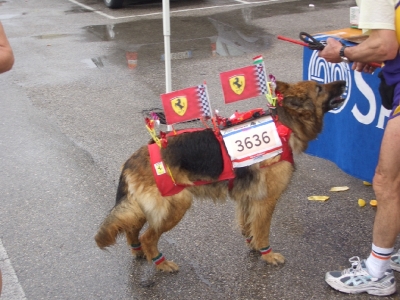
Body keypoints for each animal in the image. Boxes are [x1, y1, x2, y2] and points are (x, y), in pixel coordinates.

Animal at [95, 79, 346, 272]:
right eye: (319, 88)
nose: (344, 82)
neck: (283, 124)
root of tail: (133, 158)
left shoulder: (248, 197)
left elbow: (248, 225)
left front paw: (253, 246)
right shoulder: (266, 200)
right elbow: (263, 230)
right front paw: (267, 254)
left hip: (145, 207)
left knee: (132, 228)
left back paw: (139, 252)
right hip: (176, 205)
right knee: (147, 236)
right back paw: (160, 264)